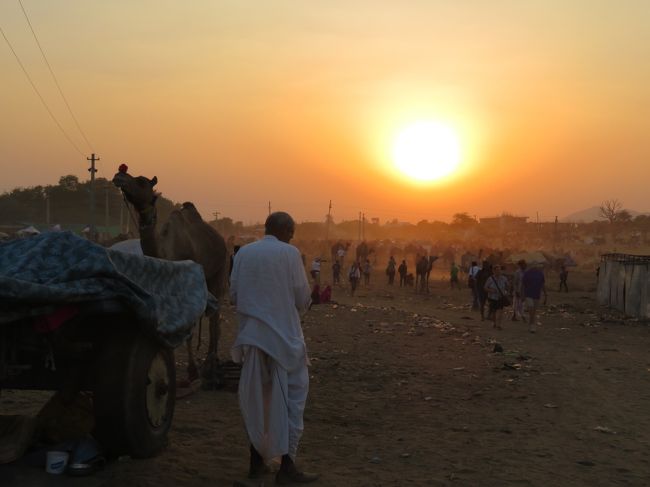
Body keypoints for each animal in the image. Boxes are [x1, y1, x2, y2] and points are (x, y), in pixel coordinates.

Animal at [113, 168, 228, 388]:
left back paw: (210, 367)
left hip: (220, 272)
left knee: (215, 318)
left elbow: (189, 330)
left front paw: (192, 372)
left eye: (141, 182)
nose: (119, 175)